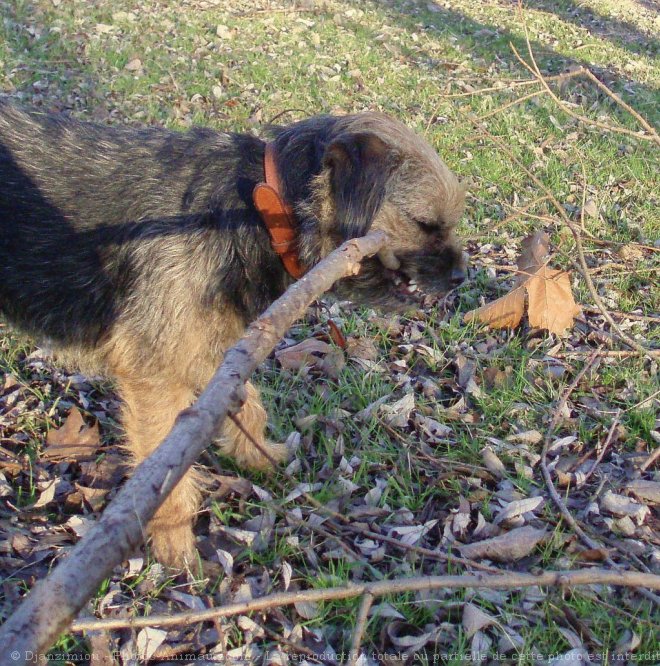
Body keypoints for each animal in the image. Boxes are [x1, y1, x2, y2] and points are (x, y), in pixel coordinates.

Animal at [0, 100, 464, 564]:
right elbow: (162, 470)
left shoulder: (210, 354)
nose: (462, 276)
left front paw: (259, 456)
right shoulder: (154, 370)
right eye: (425, 224)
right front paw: (176, 546)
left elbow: (249, 405)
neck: (261, 209)